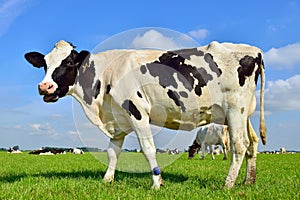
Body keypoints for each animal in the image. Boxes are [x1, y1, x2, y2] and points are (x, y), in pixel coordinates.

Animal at [24, 40, 266, 189]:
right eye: (44, 64)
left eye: (68, 62)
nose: (44, 87)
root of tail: (255, 51)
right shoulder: (118, 119)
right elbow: (112, 153)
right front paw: (107, 180)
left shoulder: (137, 111)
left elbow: (148, 149)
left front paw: (157, 183)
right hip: (244, 113)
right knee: (253, 142)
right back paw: (249, 181)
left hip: (235, 109)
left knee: (239, 145)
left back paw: (228, 184)